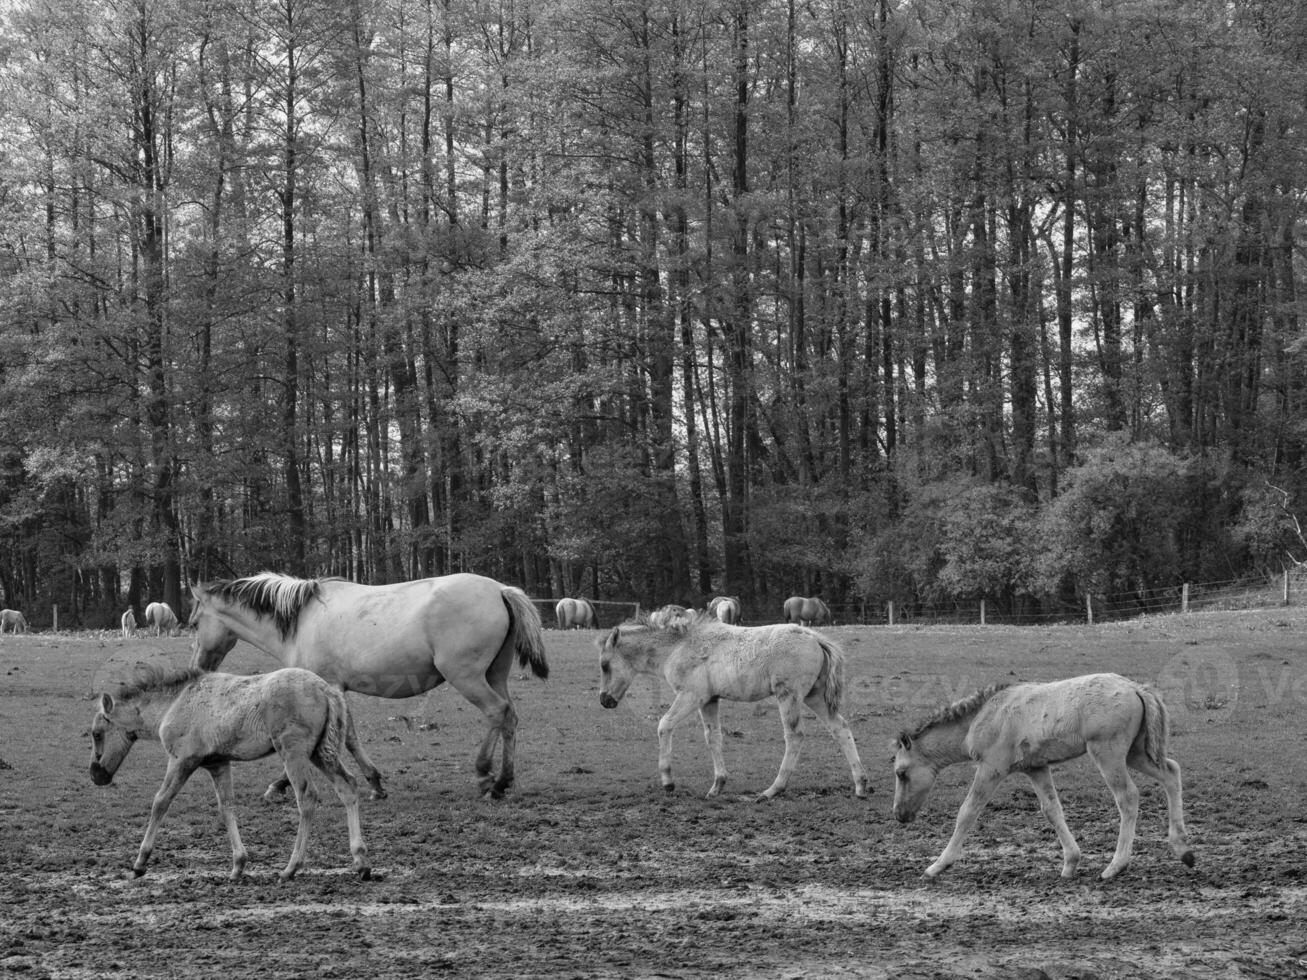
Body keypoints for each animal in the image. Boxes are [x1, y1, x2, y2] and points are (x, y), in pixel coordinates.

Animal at [89, 669, 371, 883]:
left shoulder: (182, 761)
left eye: (96, 733)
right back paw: (360, 862)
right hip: (320, 753)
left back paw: (291, 868)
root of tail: (326, 689)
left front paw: (139, 863)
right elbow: (226, 808)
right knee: (348, 787)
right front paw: (238, 865)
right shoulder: (219, 764)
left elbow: (160, 802)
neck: (174, 704)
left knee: (307, 798)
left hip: (294, 753)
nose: (96, 776)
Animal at [189, 572, 546, 799]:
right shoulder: (338, 691)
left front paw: (281, 784)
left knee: (496, 713)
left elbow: (336, 739)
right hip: (494, 676)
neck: (301, 621)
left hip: (467, 677)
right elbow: (348, 737)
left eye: (193, 623)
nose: (199, 667)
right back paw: (503, 781)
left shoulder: (327, 688)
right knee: (509, 717)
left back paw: (486, 776)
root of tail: (500, 590)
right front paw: (374, 782)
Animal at [598, 616, 867, 799]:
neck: (678, 646)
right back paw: (861, 785)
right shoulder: (709, 700)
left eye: (604, 665)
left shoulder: (691, 696)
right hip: (814, 696)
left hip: (788, 696)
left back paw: (773, 790)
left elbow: (664, 725)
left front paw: (668, 781)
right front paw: (717, 785)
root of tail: (814, 637)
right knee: (840, 728)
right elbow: (713, 738)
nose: (604, 700)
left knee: (795, 735)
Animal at [888, 674, 1197, 883]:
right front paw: (1070, 863)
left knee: (1128, 797)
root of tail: (1136, 688)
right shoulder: (1036, 768)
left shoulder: (991, 769)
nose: (899, 815)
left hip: (1108, 753)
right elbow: (1051, 810)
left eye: (901, 773)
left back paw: (1115, 866)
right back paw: (1183, 850)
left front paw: (937, 866)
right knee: (1171, 774)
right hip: (1136, 752)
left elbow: (967, 811)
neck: (983, 716)